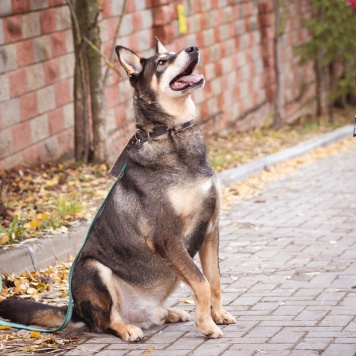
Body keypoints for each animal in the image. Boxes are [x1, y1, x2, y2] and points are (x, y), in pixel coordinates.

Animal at [0, 37, 236, 340]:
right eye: (162, 62)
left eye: (175, 51)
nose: (193, 48)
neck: (172, 133)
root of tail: (76, 312)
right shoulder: (167, 237)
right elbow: (200, 281)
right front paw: (206, 325)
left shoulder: (210, 229)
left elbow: (214, 280)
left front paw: (217, 315)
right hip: (91, 269)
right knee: (106, 321)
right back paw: (127, 329)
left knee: (150, 315)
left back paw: (169, 313)